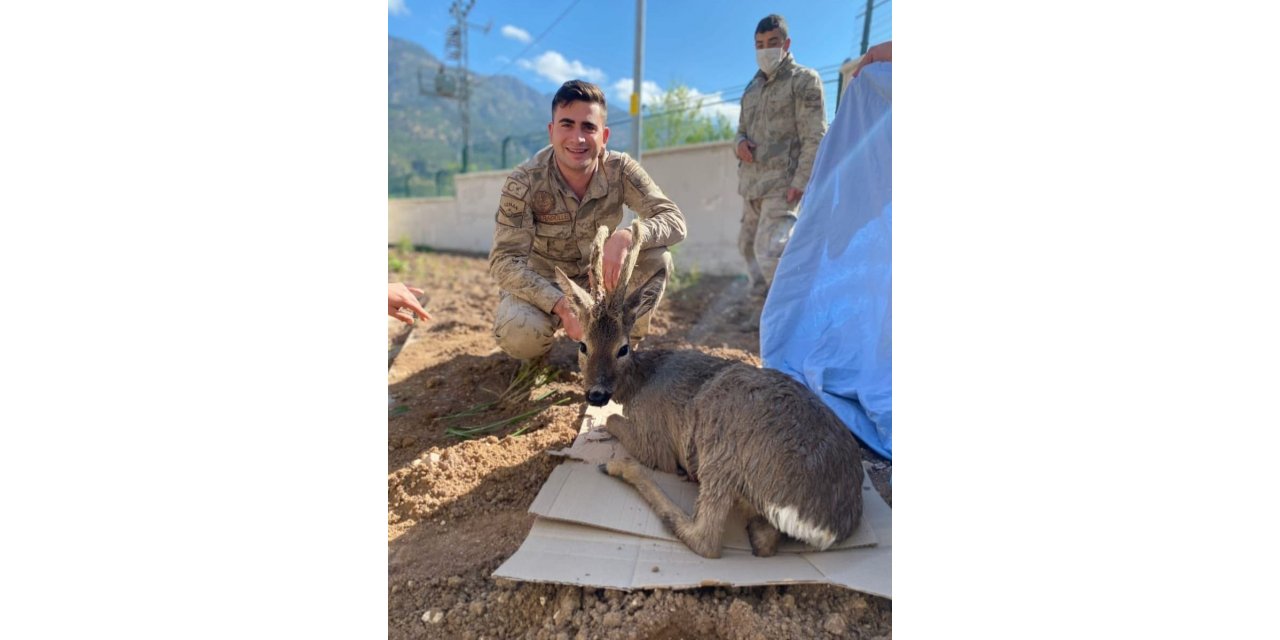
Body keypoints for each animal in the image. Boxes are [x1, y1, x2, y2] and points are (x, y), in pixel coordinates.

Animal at [555, 221, 865, 560]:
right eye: (583, 346)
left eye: (622, 349)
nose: (596, 394)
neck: (641, 383)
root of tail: (825, 525)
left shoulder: (654, 439)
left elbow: (613, 421)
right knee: (764, 540)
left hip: (721, 445)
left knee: (707, 539)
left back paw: (622, 467)